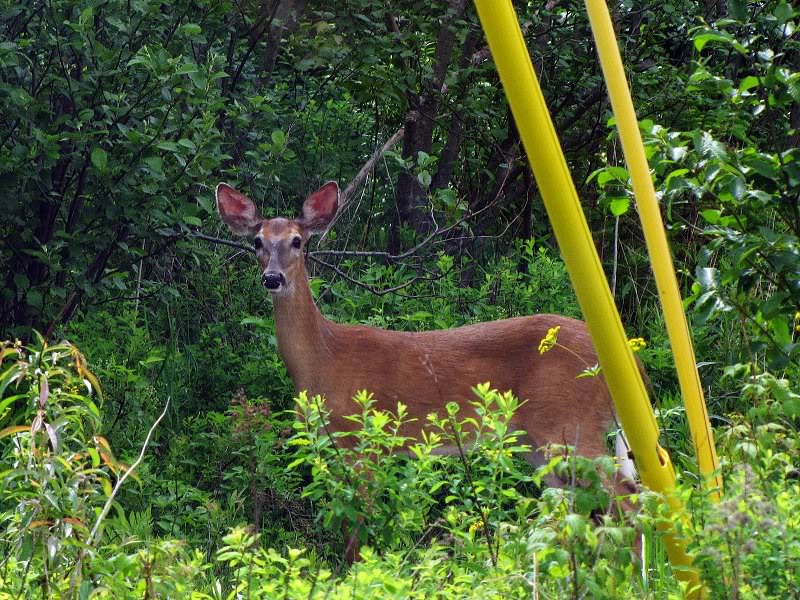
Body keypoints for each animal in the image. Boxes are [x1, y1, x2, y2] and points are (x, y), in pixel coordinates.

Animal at [215, 180, 638, 560]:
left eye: (297, 241)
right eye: (257, 242)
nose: (273, 278)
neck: (324, 359)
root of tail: (625, 364)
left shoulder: (364, 439)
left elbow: (358, 531)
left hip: (569, 422)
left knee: (627, 500)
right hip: (542, 441)